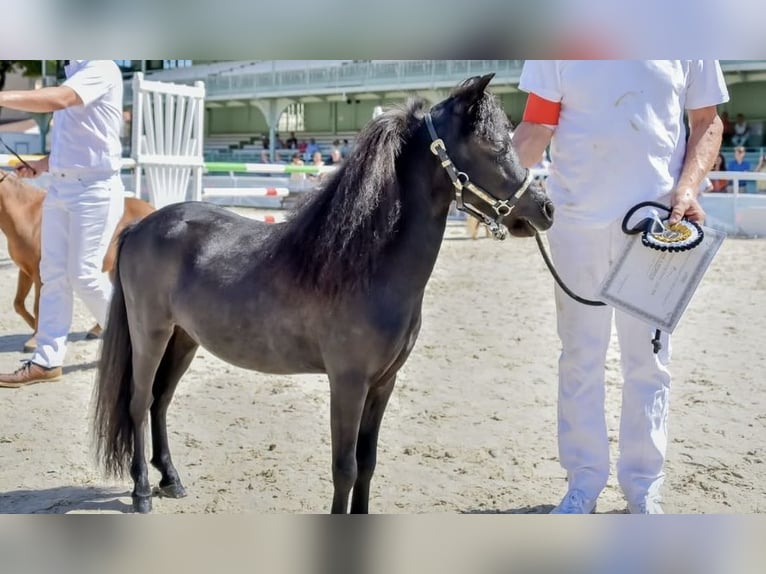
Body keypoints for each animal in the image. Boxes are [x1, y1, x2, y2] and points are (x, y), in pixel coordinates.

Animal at [0, 171, 155, 351]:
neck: (27, 214)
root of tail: (152, 209)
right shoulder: (25, 270)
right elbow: (18, 304)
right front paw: (34, 330)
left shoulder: (40, 275)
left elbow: (38, 306)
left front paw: (35, 339)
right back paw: (97, 331)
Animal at [92, 74, 555, 514]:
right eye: (494, 145)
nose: (545, 209)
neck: (365, 264)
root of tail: (142, 225)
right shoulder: (347, 382)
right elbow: (345, 468)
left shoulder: (383, 384)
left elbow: (368, 464)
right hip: (150, 335)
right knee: (138, 402)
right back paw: (142, 492)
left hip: (184, 339)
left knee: (160, 401)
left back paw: (172, 480)